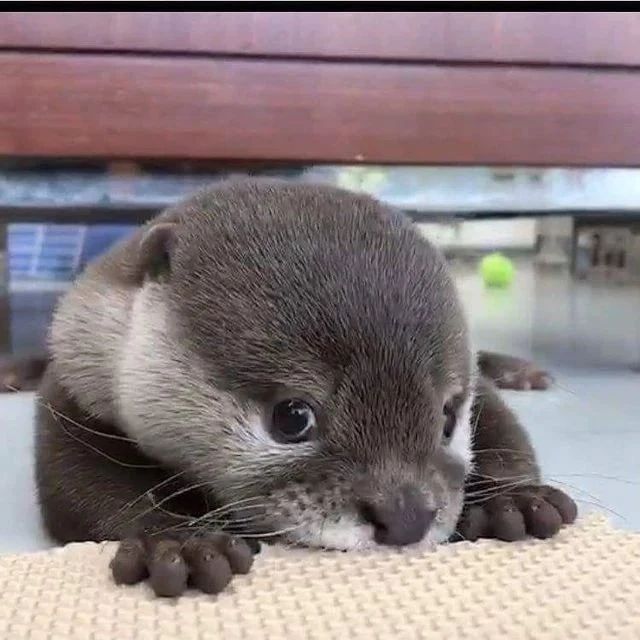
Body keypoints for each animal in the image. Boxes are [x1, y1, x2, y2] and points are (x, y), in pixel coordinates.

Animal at [2, 179, 576, 596]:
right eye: (292, 417)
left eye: (448, 417)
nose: (406, 516)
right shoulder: (75, 386)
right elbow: (82, 488)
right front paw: (178, 542)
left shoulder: (476, 389)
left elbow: (503, 427)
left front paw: (514, 499)